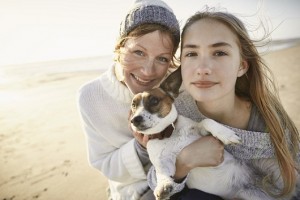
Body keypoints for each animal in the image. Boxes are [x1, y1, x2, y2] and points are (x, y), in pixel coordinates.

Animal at [129, 67, 298, 200]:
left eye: (154, 101)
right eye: (133, 105)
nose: (134, 119)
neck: (169, 133)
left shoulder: (203, 132)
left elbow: (206, 121)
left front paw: (226, 134)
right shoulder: (163, 162)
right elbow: (162, 172)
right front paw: (163, 186)